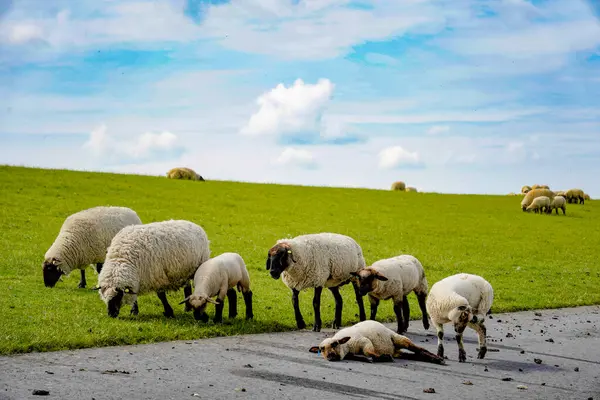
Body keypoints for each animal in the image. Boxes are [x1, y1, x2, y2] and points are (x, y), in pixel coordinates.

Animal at [310, 318, 446, 366]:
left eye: (335, 344)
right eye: (321, 349)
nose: (330, 356)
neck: (346, 347)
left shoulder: (364, 341)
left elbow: (369, 352)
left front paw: (383, 357)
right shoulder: (351, 353)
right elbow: (363, 357)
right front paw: (374, 358)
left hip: (398, 339)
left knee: (419, 349)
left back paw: (438, 358)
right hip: (397, 351)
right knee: (414, 355)